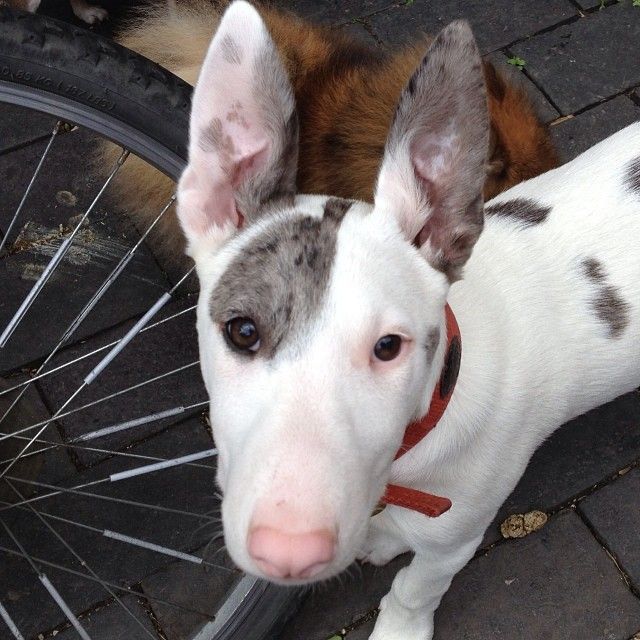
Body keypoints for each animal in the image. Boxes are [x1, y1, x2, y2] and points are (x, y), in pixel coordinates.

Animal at [175, 2, 640, 636]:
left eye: (388, 346)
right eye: (242, 331)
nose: (288, 552)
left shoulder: (457, 537)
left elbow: (414, 588)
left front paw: (399, 623)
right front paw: (383, 538)